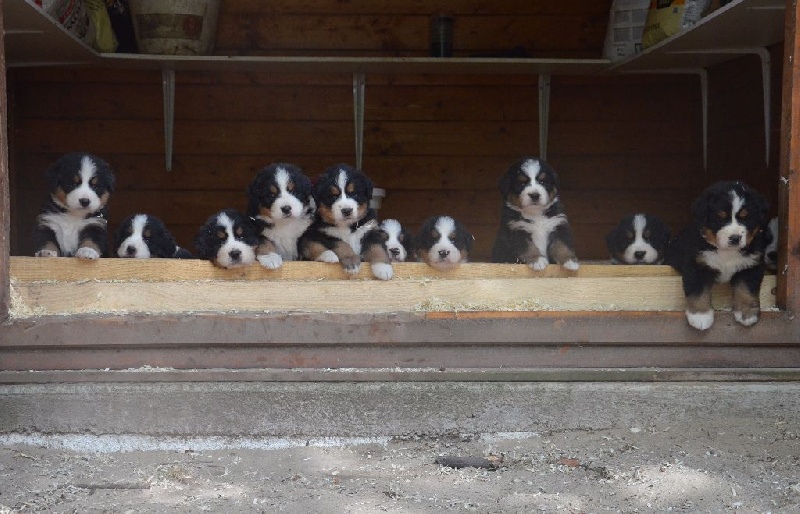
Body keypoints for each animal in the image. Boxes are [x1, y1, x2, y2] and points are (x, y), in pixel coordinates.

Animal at [664, 180, 768, 330]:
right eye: (720, 219)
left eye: (745, 218)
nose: (735, 238)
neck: (727, 253)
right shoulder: (696, 265)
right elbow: (698, 292)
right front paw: (700, 316)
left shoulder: (751, 266)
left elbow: (746, 290)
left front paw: (747, 314)